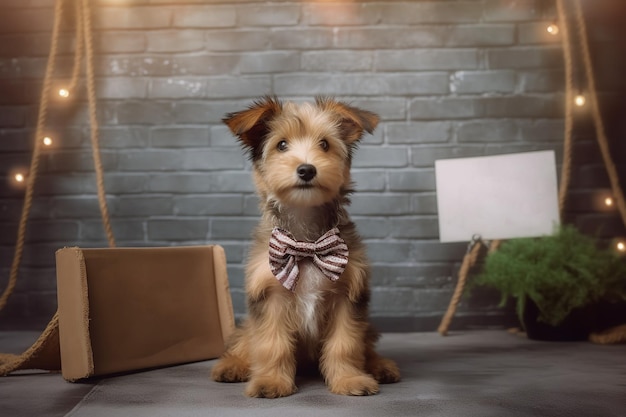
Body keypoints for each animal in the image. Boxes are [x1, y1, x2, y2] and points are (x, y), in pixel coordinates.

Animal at [210, 96, 400, 396]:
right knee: (245, 341)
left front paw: (350, 379)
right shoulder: (270, 296)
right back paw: (233, 366)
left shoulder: (347, 296)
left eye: (324, 144)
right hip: (248, 326)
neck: (306, 241)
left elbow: (346, 344)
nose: (307, 169)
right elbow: (271, 344)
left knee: (367, 344)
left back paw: (380, 366)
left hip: (368, 327)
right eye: (281, 145)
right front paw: (271, 381)